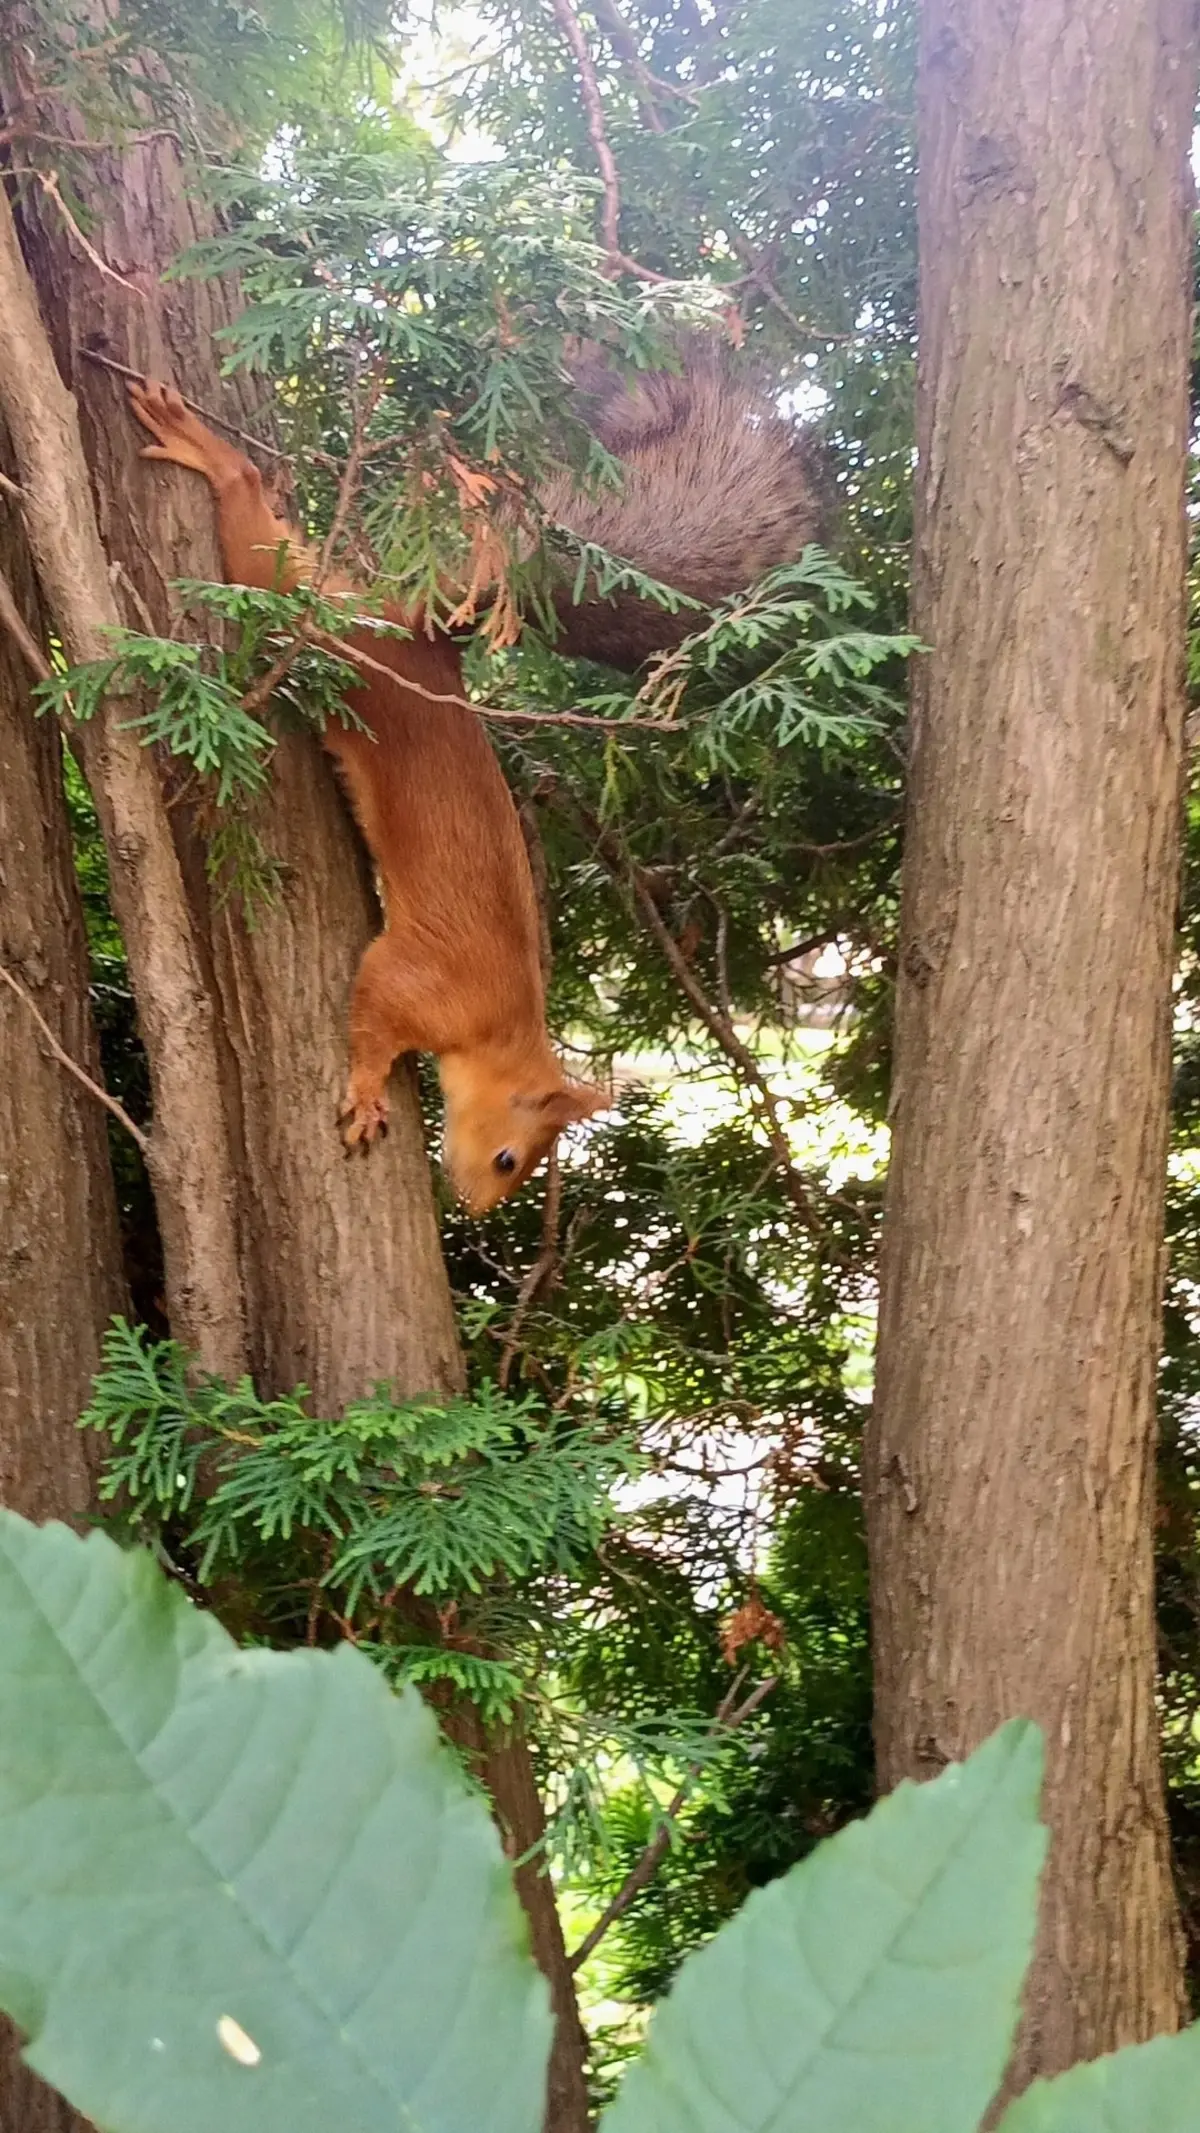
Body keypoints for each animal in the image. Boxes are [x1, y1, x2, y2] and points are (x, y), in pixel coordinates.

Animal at [126, 379, 605, 1220]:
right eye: (511, 1158)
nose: (474, 1210)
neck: (500, 1028)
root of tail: (414, 641)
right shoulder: (419, 980)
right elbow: (370, 1014)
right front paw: (367, 1093)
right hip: (319, 629)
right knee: (260, 544)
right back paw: (212, 457)